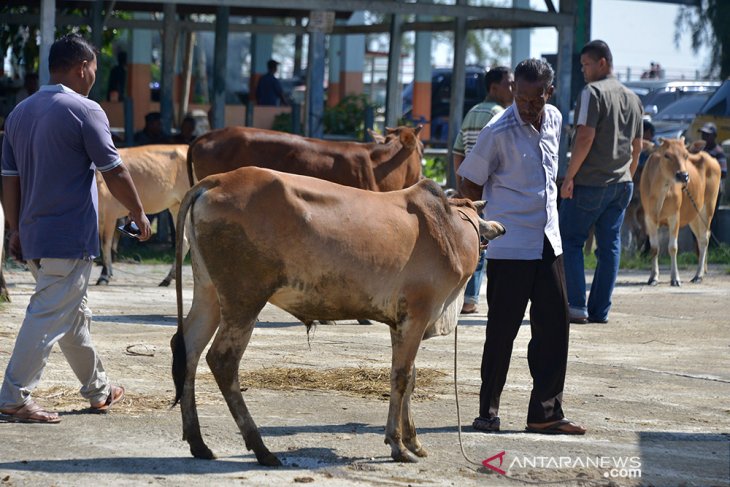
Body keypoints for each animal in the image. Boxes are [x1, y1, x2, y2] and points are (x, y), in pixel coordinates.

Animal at [96, 145, 191, 286]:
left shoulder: (109, 213)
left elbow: (105, 243)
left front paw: (104, 275)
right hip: (176, 206)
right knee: (183, 240)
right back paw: (168, 278)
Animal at [171, 167, 504, 466]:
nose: (498, 229)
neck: (449, 229)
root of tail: (216, 180)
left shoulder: (402, 323)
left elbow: (410, 378)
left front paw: (413, 441)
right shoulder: (417, 315)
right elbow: (401, 378)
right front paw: (398, 445)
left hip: (209, 292)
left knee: (188, 349)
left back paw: (199, 443)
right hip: (244, 299)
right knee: (222, 360)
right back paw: (262, 449)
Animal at [640, 137, 720, 286]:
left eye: (686, 155)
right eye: (666, 155)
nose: (684, 176)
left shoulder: (674, 216)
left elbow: (673, 247)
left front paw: (675, 278)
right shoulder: (649, 218)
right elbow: (654, 248)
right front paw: (653, 277)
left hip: (708, 208)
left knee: (704, 239)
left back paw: (698, 275)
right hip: (694, 215)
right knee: (701, 237)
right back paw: (702, 271)